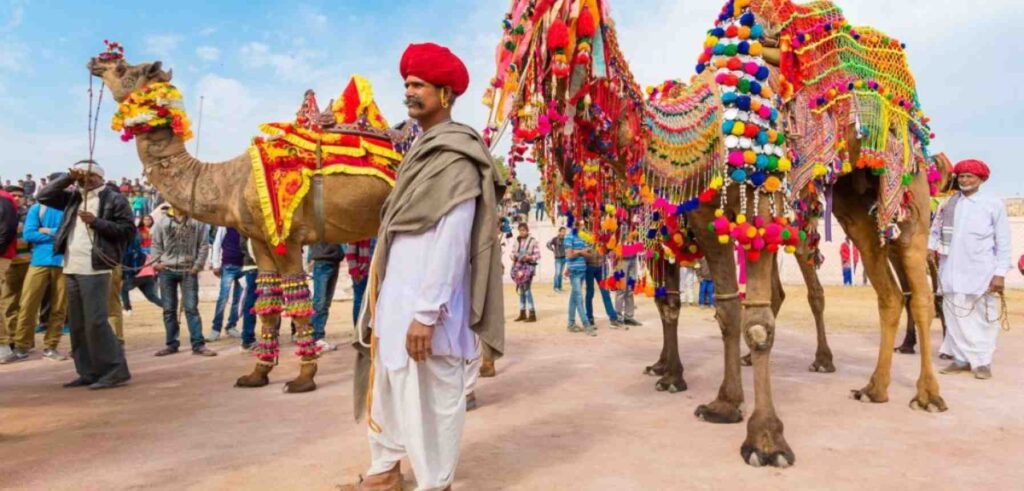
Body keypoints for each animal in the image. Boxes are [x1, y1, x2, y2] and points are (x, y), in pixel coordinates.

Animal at [88, 44, 405, 393]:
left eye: (125, 70)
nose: (96, 61)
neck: (229, 181)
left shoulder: (288, 238)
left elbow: (297, 301)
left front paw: (303, 378)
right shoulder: (259, 238)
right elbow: (266, 302)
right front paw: (257, 374)